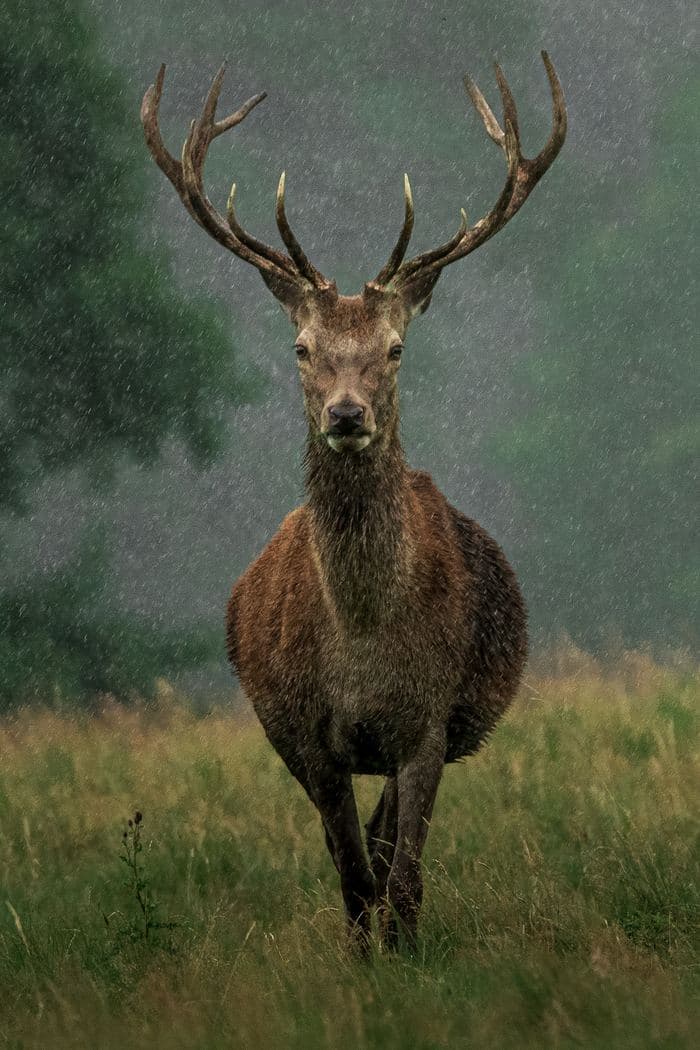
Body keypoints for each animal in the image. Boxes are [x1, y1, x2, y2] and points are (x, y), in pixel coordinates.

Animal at [141, 52, 566, 950]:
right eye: (302, 347)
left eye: (395, 347)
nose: (345, 415)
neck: (366, 652)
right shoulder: (308, 735)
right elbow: (352, 878)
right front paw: (365, 960)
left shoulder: (429, 723)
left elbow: (400, 877)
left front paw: (404, 957)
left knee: (389, 847)